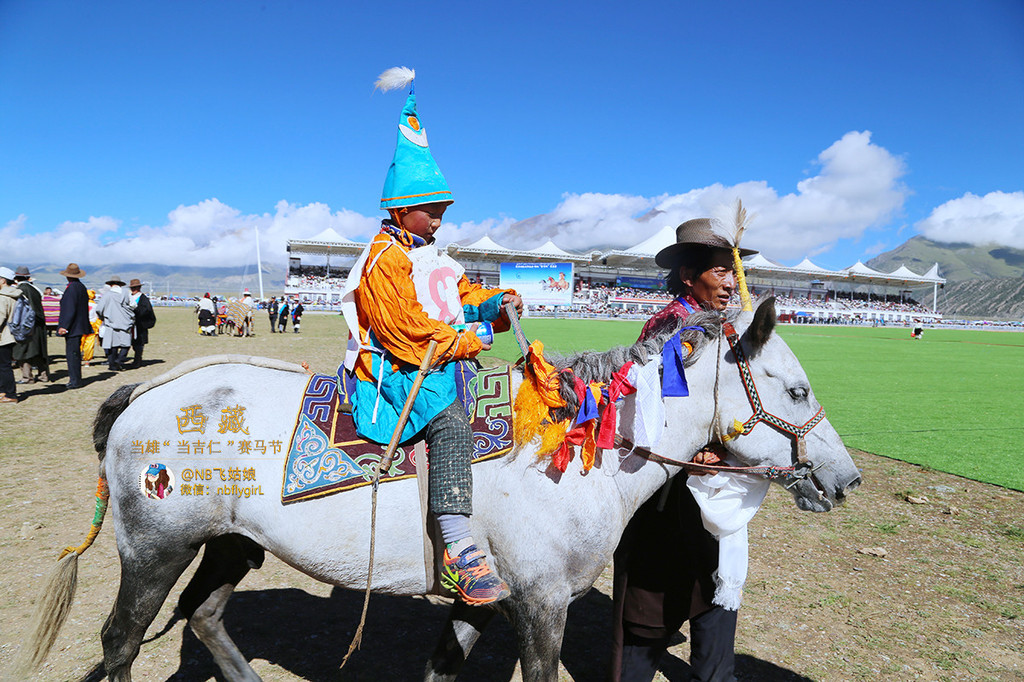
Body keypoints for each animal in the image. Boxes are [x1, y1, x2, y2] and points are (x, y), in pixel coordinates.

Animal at [19, 299, 860, 679]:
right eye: (794, 388)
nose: (845, 478)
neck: (576, 456)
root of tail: (148, 393)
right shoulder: (541, 605)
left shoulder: (482, 600)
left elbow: (440, 665)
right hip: (155, 549)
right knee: (122, 639)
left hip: (232, 545)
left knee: (205, 617)